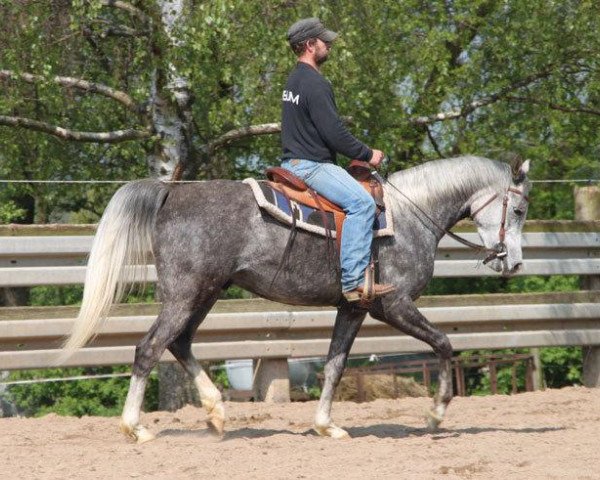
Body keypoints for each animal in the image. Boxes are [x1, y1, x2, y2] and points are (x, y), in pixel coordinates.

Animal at [62, 156, 528, 440]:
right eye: (520, 210)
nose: (515, 263)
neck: (409, 216)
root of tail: (172, 193)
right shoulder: (394, 306)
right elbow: (444, 344)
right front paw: (435, 413)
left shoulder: (354, 308)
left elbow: (335, 364)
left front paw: (326, 426)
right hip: (184, 295)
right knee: (148, 348)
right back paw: (136, 428)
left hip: (203, 295)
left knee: (178, 343)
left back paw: (216, 412)